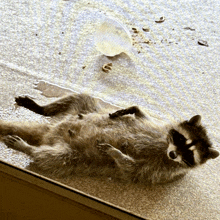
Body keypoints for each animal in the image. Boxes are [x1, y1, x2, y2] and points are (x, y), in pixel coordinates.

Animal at [0, 94, 218, 184]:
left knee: (51, 157)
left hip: (71, 156)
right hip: (82, 110)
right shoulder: (159, 128)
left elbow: (132, 169)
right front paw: (132, 109)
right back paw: (40, 107)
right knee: (81, 97)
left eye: (189, 155)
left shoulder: (163, 171)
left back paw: (27, 148)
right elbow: (143, 117)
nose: (173, 154)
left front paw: (116, 153)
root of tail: (50, 131)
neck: (165, 146)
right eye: (181, 139)